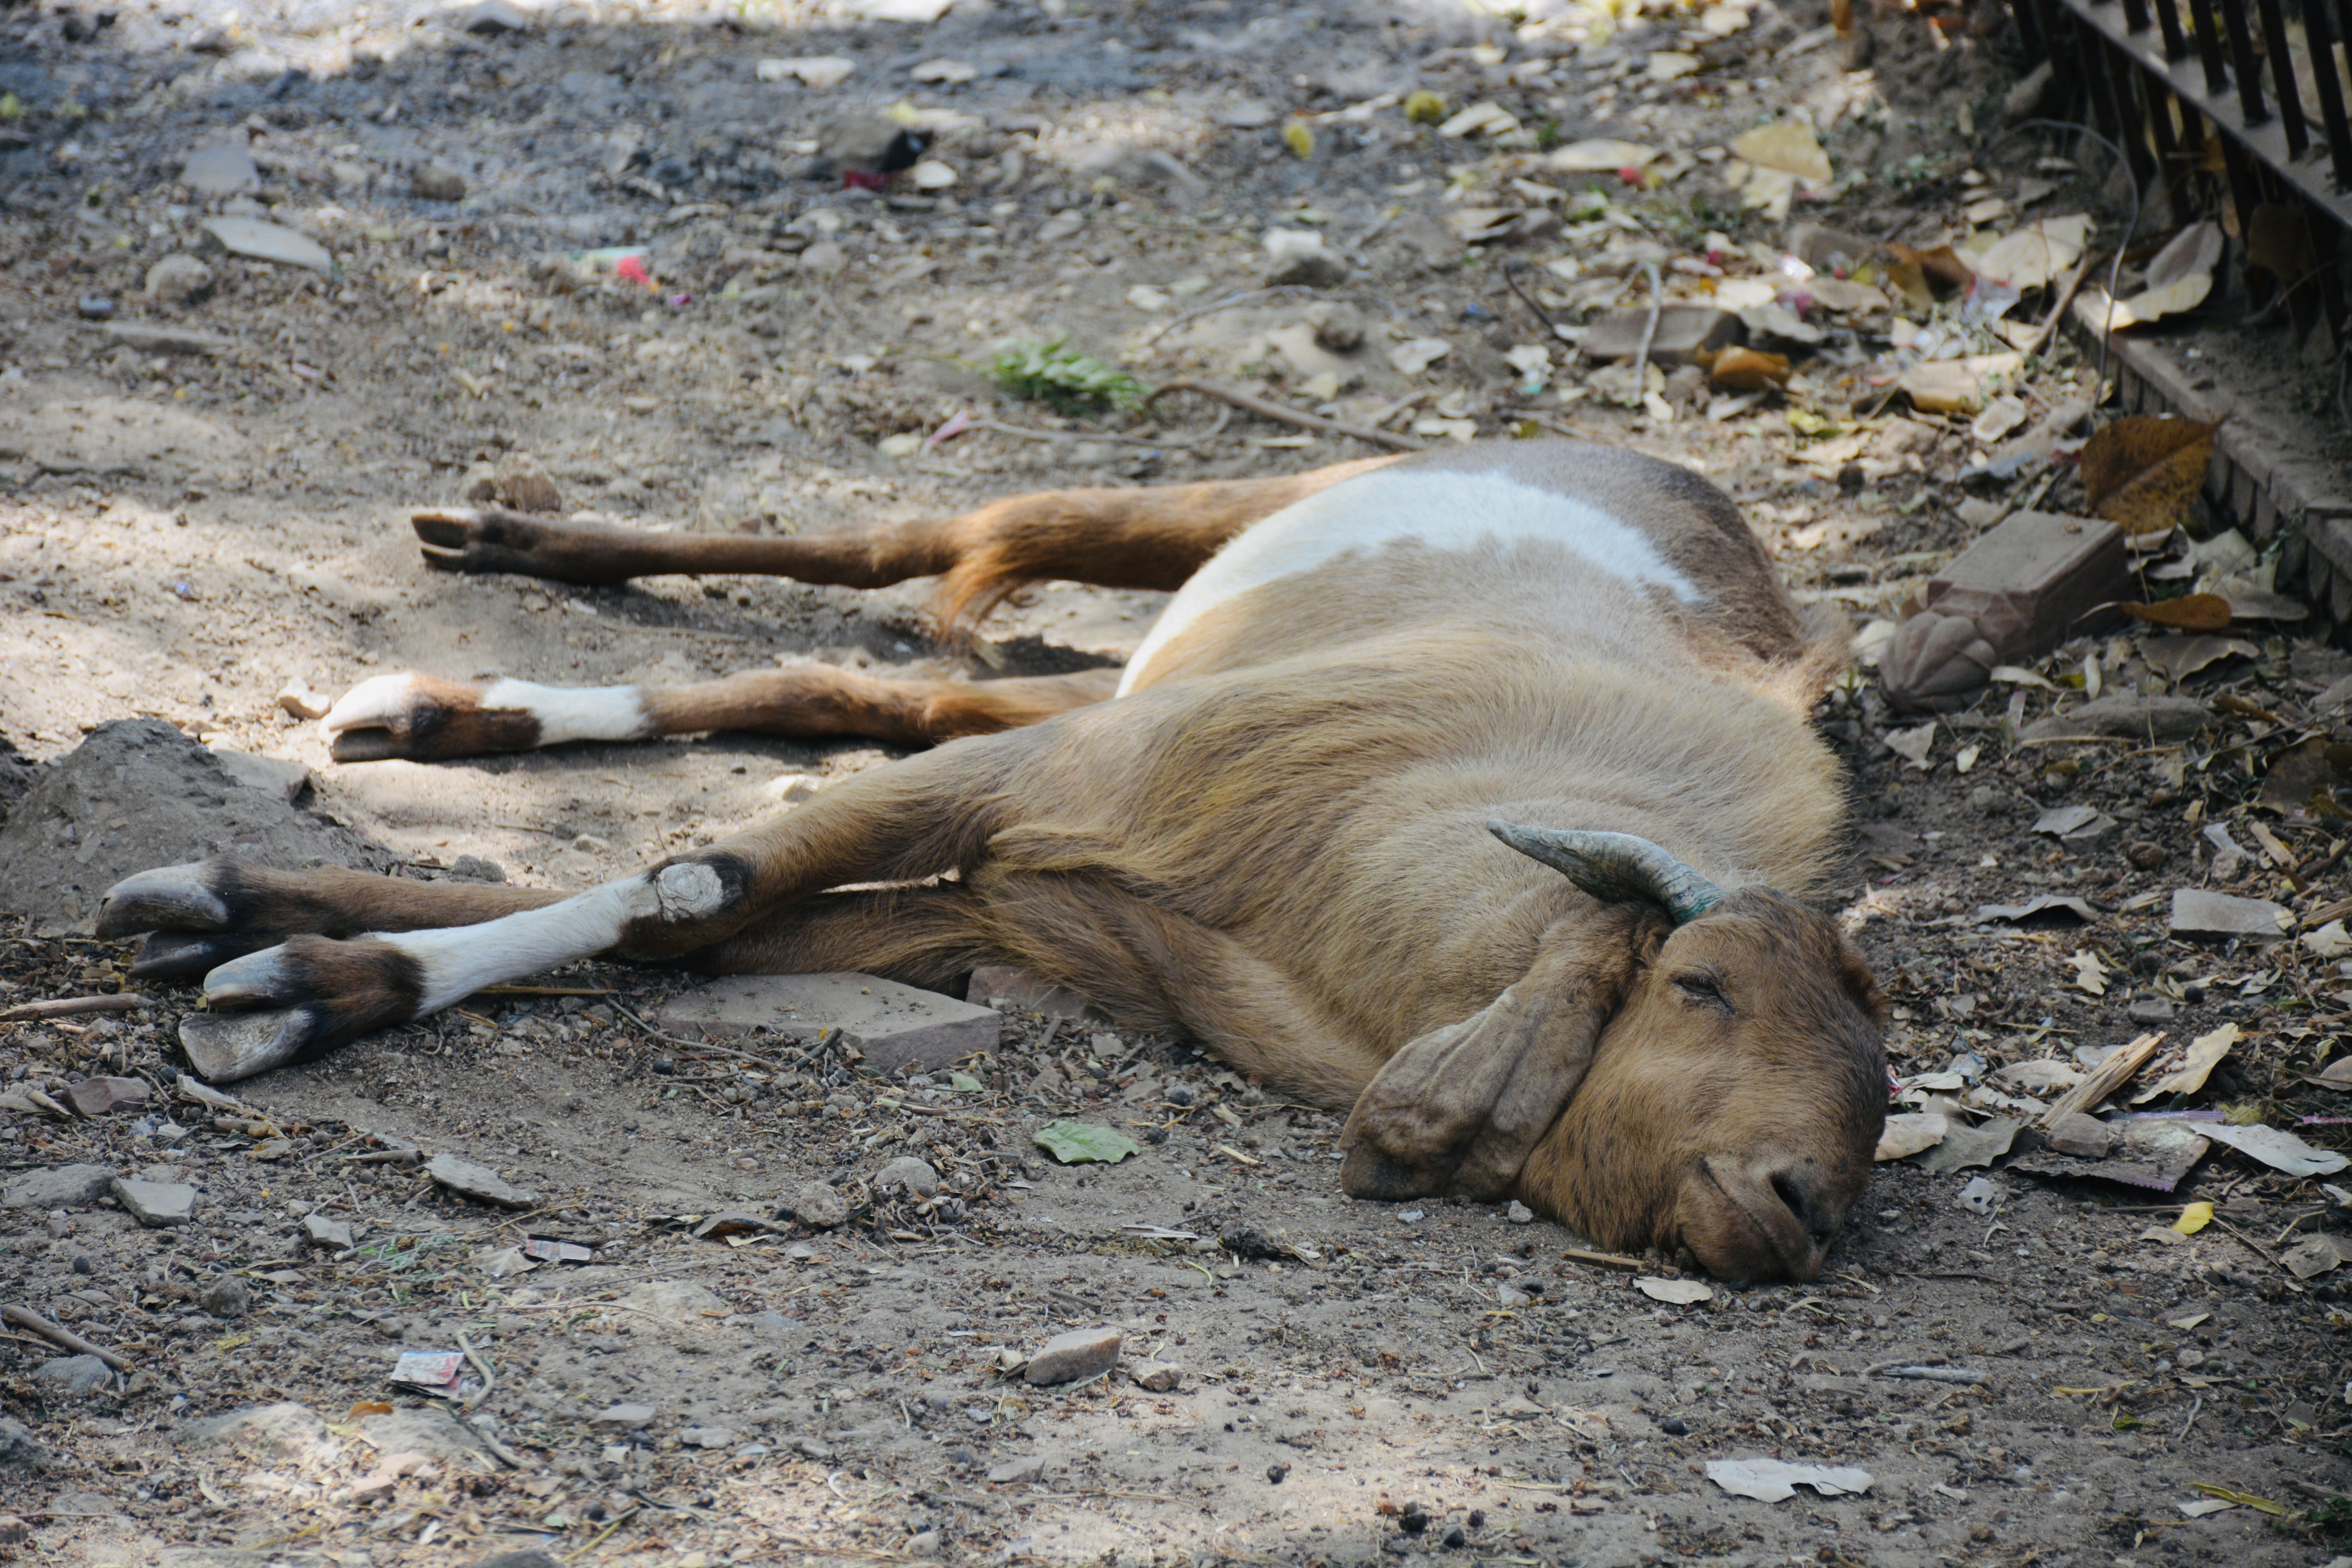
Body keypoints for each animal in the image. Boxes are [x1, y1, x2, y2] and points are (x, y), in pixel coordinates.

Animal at [97, 440, 1887, 1281]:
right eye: (1704, 986)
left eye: (1870, 1075)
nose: (1798, 1204)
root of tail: (1700, 502)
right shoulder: (1060, 784)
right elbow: (688, 893)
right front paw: (267, 966)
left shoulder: (1005, 918)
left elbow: (689, 930)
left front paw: (272, 946)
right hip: (1270, 508)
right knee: (930, 541)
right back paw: (507, 543)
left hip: (1109, 676)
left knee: (880, 682)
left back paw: (458, 709)